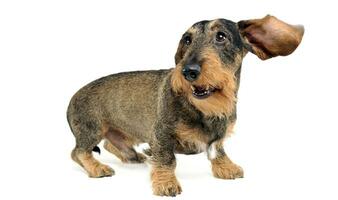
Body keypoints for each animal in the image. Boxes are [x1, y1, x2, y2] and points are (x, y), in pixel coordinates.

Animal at [67, 15, 304, 195]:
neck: (206, 109)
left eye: (221, 36)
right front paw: (166, 183)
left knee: (109, 144)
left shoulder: (218, 138)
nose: (188, 71)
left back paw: (133, 155)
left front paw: (226, 167)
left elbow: (218, 150)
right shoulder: (161, 135)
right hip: (92, 130)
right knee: (78, 152)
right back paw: (97, 168)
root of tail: (72, 98)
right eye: (187, 40)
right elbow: (167, 159)